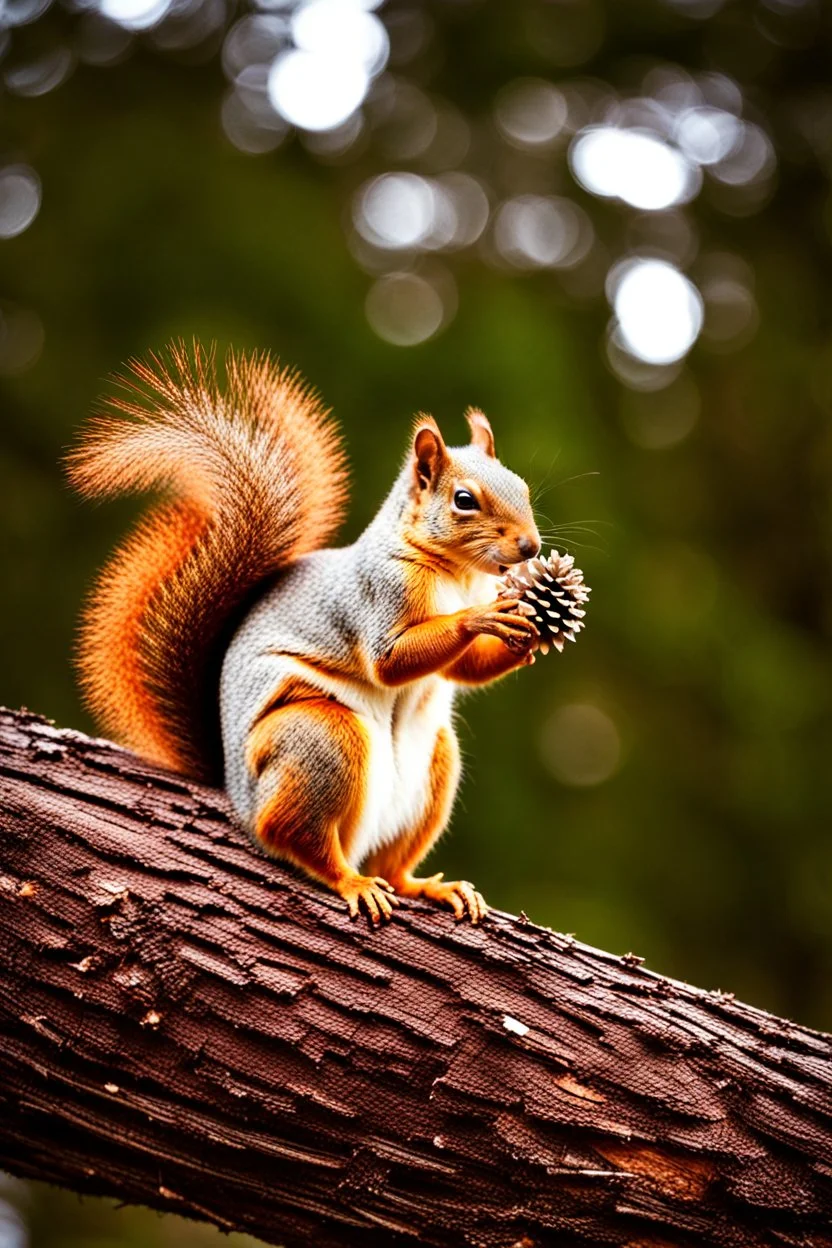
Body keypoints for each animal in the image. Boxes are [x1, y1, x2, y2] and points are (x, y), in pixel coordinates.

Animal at [69, 341, 541, 928]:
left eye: (523, 487)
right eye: (463, 500)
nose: (530, 547)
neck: (457, 575)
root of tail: (236, 791)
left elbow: (464, 669)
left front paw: (528, 631)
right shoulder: (378, 594)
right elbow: (390, 659)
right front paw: (482, 618)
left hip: (432, 765)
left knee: (394, 867)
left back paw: (431, 887)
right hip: (320, 740)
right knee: (296, 838)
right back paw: (349, 880)